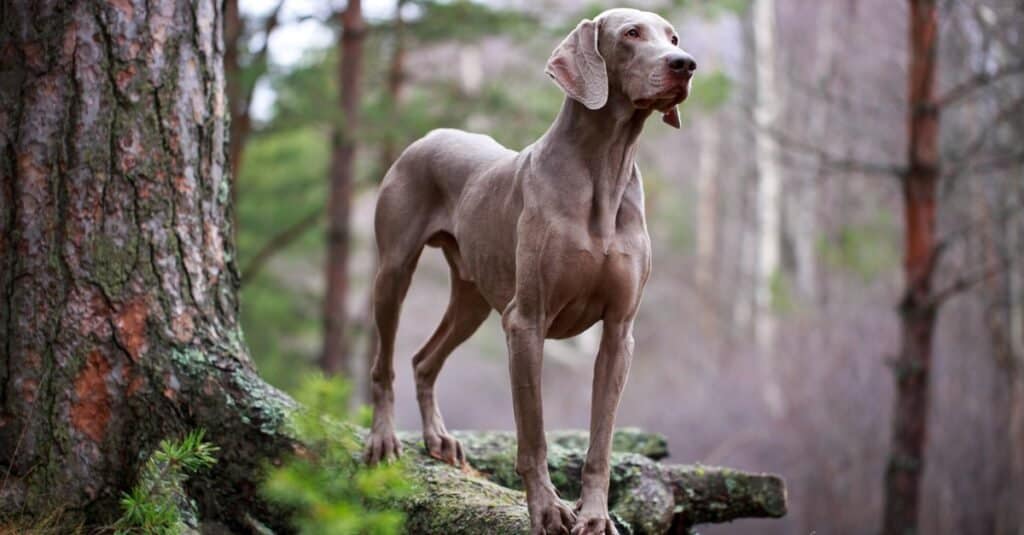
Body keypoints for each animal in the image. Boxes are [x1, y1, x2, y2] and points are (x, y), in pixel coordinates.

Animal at [366, 8, 696, 532]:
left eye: (674, 37)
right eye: (631, 33)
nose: (685, 65)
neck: (604, 170)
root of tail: (431, 134)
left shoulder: (618, 333)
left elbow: (601, 440)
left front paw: (595, 515)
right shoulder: (526, 322)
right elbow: (533, 433)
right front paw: (546, 508)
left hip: (473, 299)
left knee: (423, 359)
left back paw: (438, 438)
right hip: (394, 272)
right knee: (385, 362)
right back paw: (383, 440)